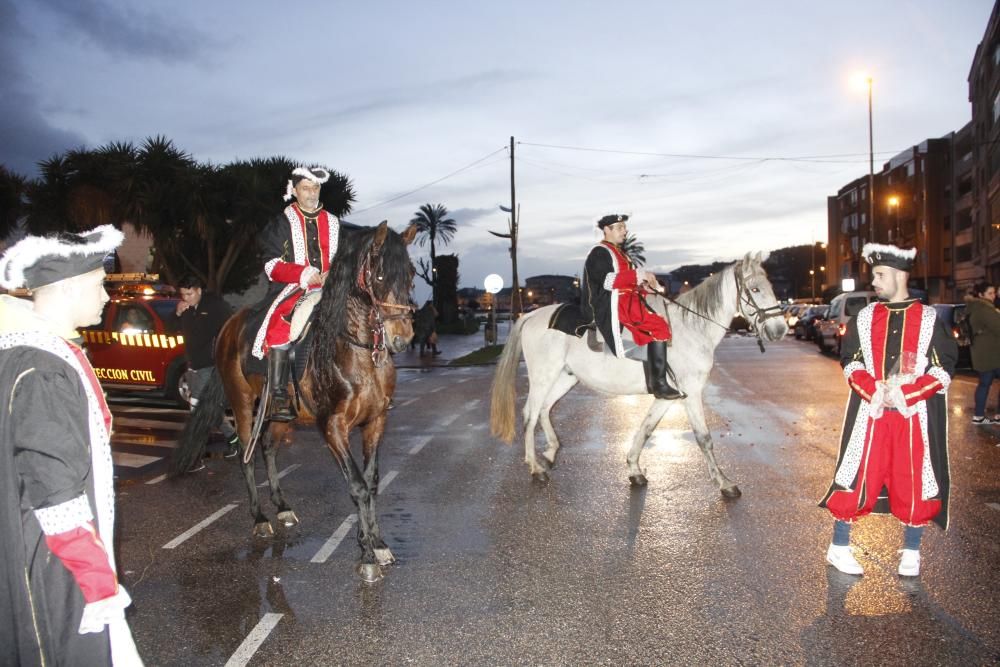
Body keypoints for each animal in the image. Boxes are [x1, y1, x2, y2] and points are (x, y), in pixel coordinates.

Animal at [174, 222, 416, 580]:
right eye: (381, 275)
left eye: (412, 275)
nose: (402, 338)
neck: (354, 350)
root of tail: (229, 326)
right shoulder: (332, 427)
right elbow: (357, 485)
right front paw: (367, 555)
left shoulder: (376, 422)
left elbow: (372, 484)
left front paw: (379, 544)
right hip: (242, 404)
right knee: (246, 456)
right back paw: (260, 518)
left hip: (278, 415)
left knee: (268, 449)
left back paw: (282, 507)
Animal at [490, 253, 788, 498]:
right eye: (755, 289)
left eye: (771, 287)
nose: (780, 329)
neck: (692, 329)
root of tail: (530, 316)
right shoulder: (691, 391)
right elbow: (703, 438)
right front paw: (725, 483)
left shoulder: (668, 395)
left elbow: (646, 428)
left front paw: (634, 469)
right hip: (543, 376)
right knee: (529, 415)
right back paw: (535, 467)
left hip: (565, 378)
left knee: (545, 410)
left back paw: (550, 452)